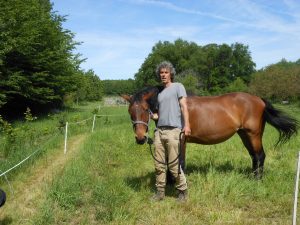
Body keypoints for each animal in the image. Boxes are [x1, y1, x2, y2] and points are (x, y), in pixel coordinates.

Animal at [121, 86, 298, 179]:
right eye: (130, 111)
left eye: (145, 109)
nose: (140, 138)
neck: (173, 107)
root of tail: (259, 99)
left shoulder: (181, 140)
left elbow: (179, 162)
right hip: (244, 135)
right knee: (254, 156)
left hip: (252, 134)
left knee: (260, 155)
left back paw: (257, 179)